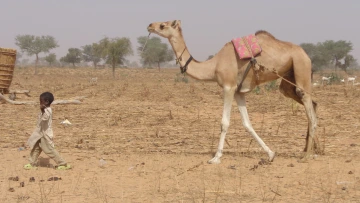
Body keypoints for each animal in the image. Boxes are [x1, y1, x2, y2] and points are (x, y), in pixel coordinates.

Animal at [148, 20, 322, 163]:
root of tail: (306, 54)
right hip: (288, 79)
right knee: (312, 103)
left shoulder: (229, 86)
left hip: (300, 65)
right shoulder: (239, 92)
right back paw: (312, 150)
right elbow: (247, 124)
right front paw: (270, 154)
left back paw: (307, 156)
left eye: (163, 25)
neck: (214, 65)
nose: (150, 25)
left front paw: (216, 157)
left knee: (309, 109)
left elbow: (224, 122)